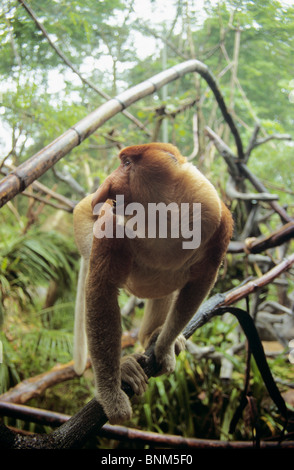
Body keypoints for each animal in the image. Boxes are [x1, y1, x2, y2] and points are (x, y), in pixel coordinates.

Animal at [72, 141, 233, 424]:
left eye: (127, 163)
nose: (105, 187)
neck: (164, 213)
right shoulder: (111, 223)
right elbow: (102, 288)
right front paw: (112, 398)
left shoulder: (216, 215)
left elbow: (201, 281)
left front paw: (165, 347)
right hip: (84, 224)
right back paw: (126, 368)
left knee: (165, 286)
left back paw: (152, 337)